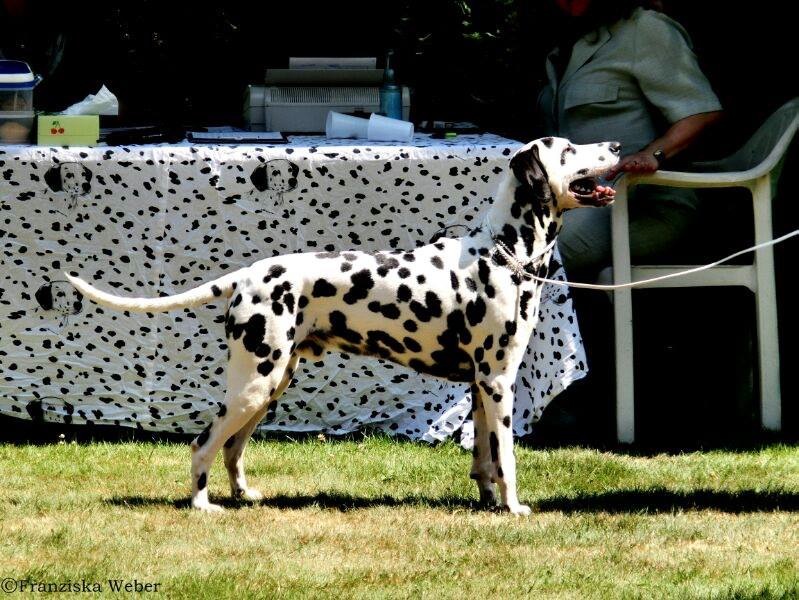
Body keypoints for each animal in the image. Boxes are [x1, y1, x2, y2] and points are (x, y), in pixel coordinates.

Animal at [65, 137, 620, 516]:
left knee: (232, 450)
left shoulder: (482, 389)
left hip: (269, 385)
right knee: (204, 444)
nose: (615, 146)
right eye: (569, 150)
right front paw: (514, 508)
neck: (502, 252)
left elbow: (484, 458)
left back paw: (245, 495)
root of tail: (247, 275)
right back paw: (203, 506)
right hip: (253, 384)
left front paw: (487, 502)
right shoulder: (500, 384)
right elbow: (507, 459)